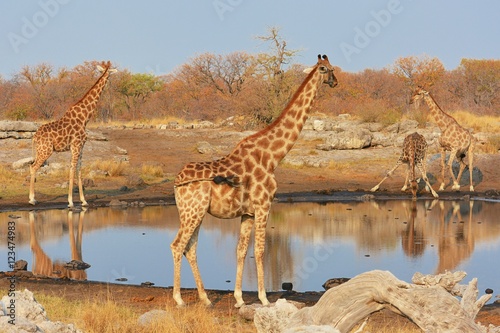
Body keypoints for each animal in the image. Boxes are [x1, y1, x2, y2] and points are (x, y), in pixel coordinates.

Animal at [28, 60, 116, 206]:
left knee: (32, 166)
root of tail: (35, 137)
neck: (85, 117)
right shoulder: (76, 145)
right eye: (110, 71)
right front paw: (70, 201)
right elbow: (72, 170)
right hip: (46, 150)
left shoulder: (80, 146)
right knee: (34, 167)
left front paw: (84, 201)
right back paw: (32, 199)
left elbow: (79, 169)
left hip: (39, 150)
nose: (113, 75)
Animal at [170, 53, 338, 306]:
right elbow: (259, 251)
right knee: (177, 245)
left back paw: (205, 298)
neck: (272, 156)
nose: (336, 82)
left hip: (193, 212)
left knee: (190, 248)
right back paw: (179, 299)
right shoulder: (263, 205)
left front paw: (239, 298)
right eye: (326, 69)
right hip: (193, 211)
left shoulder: (247, 213)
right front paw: (264, 298)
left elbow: (241, 250)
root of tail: (177, 181)